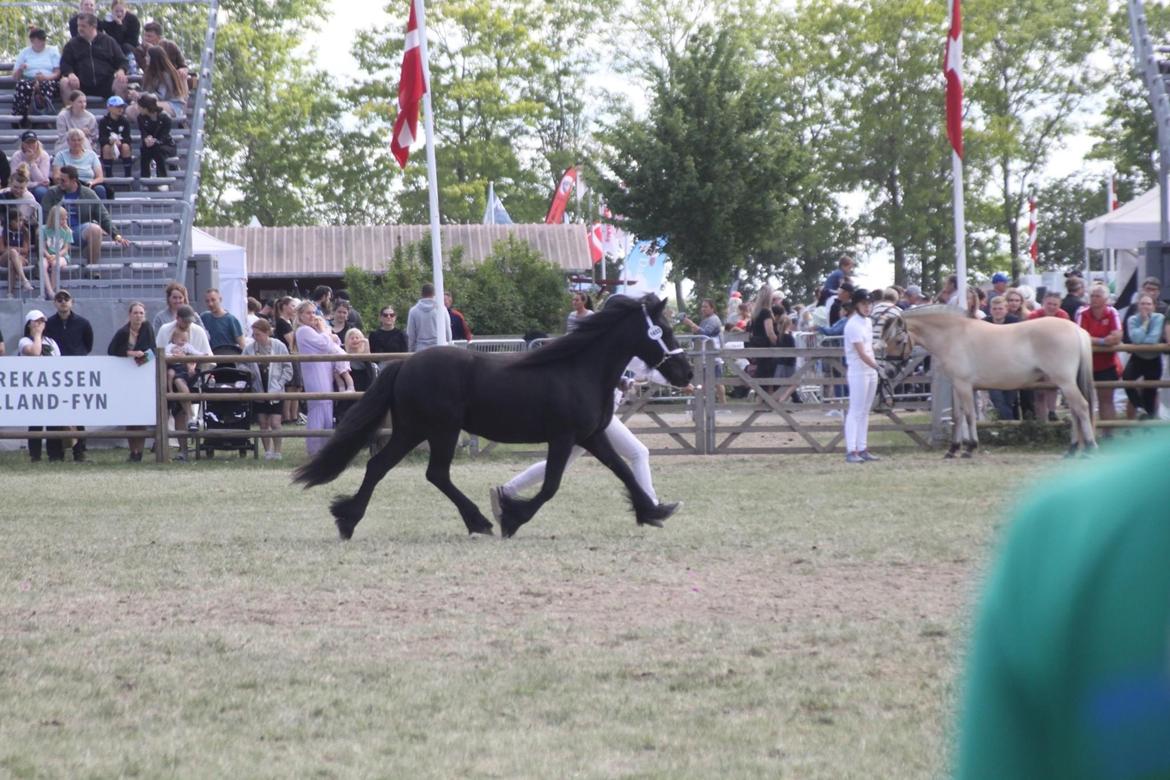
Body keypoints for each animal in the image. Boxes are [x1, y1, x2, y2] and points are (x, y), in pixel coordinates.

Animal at [292, 294, 694, 539]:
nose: (686, 373)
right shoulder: (564, 437)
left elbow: (623, 470)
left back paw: (347, 519)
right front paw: (512, 517)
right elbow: (550, 485)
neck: (579, 369)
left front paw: (654, 511)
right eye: (663, 330)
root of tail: (405, 365)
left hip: (412, 430)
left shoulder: (592, 436)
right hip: (441, 429)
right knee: (435, 473)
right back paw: (479, 521)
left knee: (380, 466)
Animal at [880, 305, 1096, 457]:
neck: (952, 336)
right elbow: (958, 417)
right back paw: (1073, 449)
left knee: (1082, 407)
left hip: (1065, 382)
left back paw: (1090, 448)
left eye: (898, 341)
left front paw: (970, 448)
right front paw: (952, 450)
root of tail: (1076, 329)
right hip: (1066, 384)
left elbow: (969, 416)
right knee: (1075, 412)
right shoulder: (957, 386)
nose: (889, 370)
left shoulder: (964, 385)